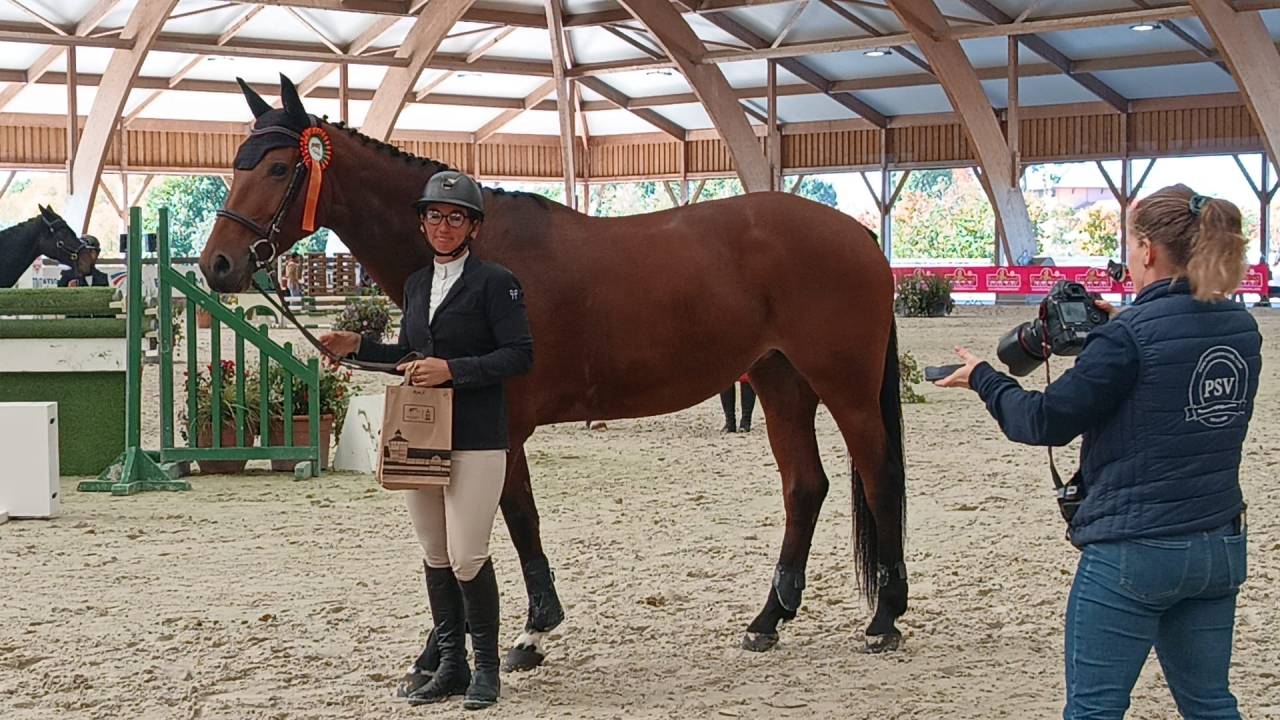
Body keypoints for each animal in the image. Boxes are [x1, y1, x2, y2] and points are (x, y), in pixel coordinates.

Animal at [200, 75, 909, 671]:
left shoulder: (503, 425)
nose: (218, 265)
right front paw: (462, 643)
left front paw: (525, 631)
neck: (476, 248)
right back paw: (768, 620)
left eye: (279, 166)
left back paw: (885, 618)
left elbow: (514, 518)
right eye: (237, 165)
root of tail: (860, 237)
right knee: (805, 487)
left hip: (843, 389)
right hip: (779, 381)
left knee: (878, 477)